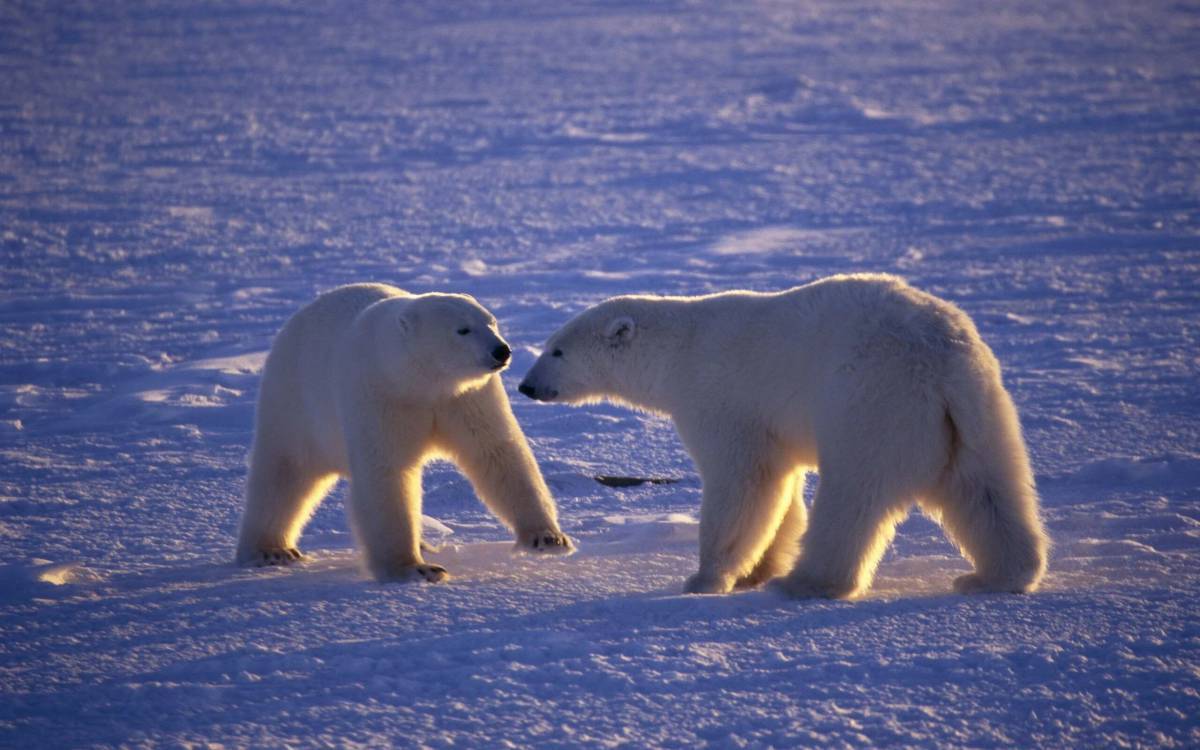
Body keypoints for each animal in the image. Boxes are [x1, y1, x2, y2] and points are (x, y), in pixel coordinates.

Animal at [236, 283, 573, 583]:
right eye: (463, 330)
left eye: (491, 322)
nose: (501, 350)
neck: (418, 380)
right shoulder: (380, 395)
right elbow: (386, 472)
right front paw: (416, 569)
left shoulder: (464, 398)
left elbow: (496, 452)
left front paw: (547, 538)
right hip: (295, 402)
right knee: (284, 473)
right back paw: (271, 550)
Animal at [520, 273, 1046, 597]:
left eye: (557, 351)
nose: (526, 386)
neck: (679, 350)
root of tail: (940, 355)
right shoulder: (771, 425)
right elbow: (780, 490)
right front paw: (757, 569)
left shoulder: (721, 399)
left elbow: (744, 484)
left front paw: (705, 578)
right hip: (973, 410)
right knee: (986, 488)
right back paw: (996, 575)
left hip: (871, 399)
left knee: (853, 494)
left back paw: (807, 582)